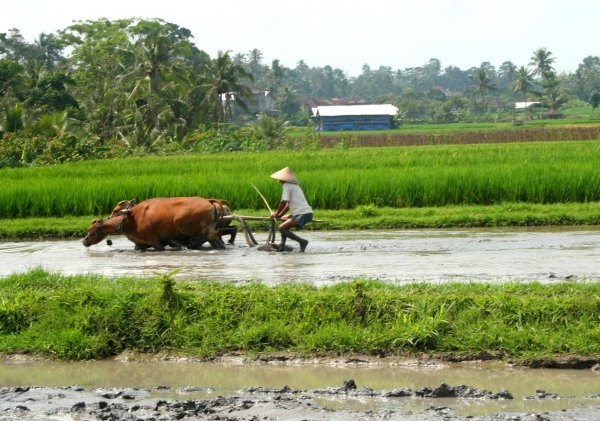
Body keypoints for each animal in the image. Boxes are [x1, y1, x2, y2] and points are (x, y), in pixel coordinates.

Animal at [84, 196, 232, 249]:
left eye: (91, 230)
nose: (84, 241)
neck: (131, 219)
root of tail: (209, 201)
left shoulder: (155, 242)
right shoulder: (140, 245)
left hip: (182, 224)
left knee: (200, 238)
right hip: (213, 234)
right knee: (217, 243)